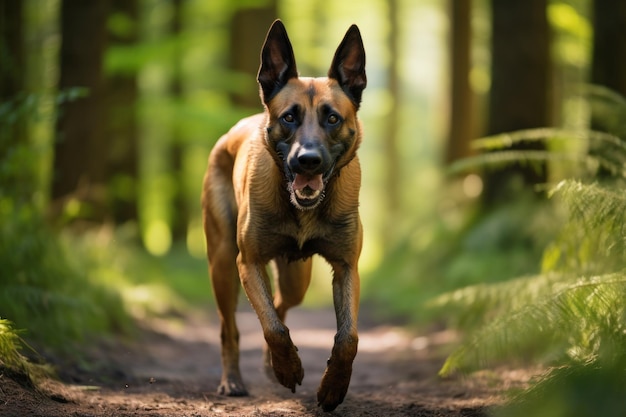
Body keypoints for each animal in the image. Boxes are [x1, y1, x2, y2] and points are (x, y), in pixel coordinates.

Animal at [200, 18, 366, 410]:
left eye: (332, 118)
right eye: (289, 117)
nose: (308, 160)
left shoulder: (347, 267)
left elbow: (348, 338)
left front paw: (333, 387)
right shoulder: (249, 261)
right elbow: (272, 327)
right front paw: (288, 368)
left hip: (296, 281)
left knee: (280, 303)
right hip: (223, 264)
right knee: (231, 327)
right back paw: (235, 379)